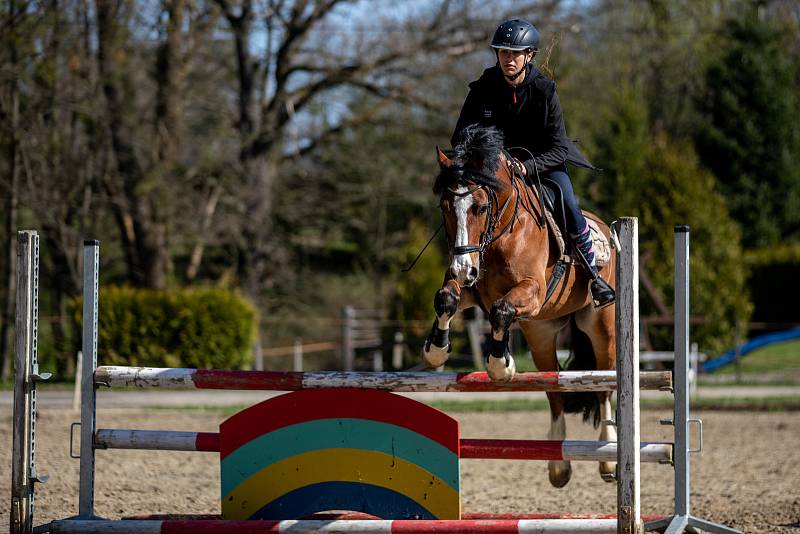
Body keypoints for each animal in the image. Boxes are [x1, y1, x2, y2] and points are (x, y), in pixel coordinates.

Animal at [424, 126, 620, 490]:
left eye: (480, 207)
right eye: (445, 206)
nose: (462, 268)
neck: (499, 233)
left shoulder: (532, 291)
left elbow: (501, 310)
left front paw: (501, 366)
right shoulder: (472, 288)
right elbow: (446, 299)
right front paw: (436, 351)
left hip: (602, 328)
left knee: (603, 386)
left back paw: (609, 459)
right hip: (540, 333)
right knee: (554, 391)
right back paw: (558, 467)